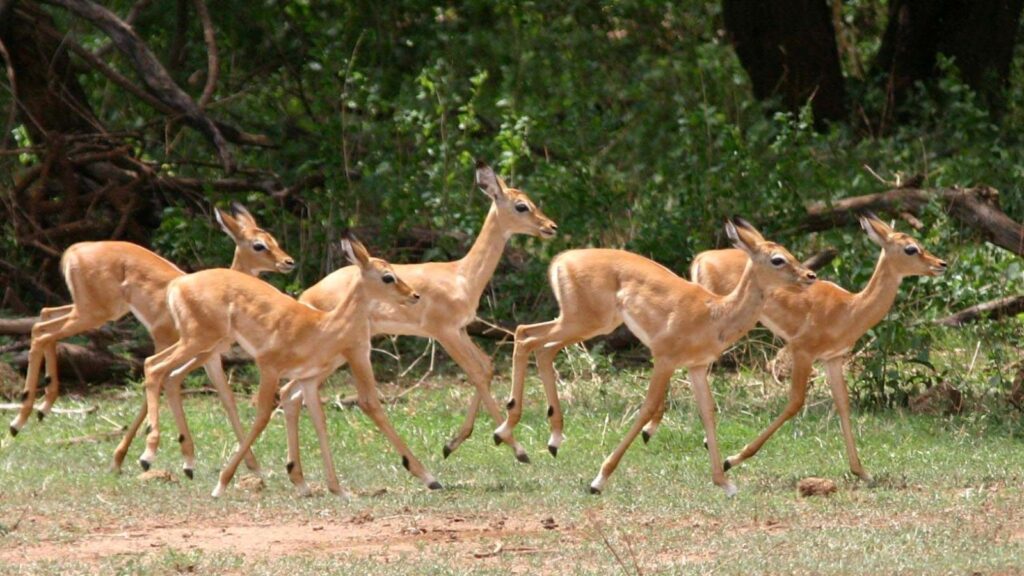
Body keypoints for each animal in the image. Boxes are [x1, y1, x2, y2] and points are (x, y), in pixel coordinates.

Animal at [11, 203, 293, 478]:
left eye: (274, 239)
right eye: (259, 244)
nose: (288, 262)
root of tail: (73, 250)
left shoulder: (210, 358)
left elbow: (227, 400)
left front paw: (252, 465)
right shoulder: (169, 344)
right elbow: (156, 387)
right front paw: (128, 458)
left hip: (90, 310)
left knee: (44, 317)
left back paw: (40, 407)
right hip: (93, 314)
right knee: (43, 331)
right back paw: (21, 419)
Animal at [138, 234, 434, 497]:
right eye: (387, 276)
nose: (415, 295)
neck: (321, 327)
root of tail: (178, 284)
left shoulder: (308, 380)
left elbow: (319, 421)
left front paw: (336, 489)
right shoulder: (270, 369)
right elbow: (262, 417)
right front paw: (221, 484)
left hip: (201, 346)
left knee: (166, 373)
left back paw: (181, 463)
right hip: (197, 342)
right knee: (154, 367)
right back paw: (148, 455)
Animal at [295, 160, 556, 467]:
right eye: (521, 206)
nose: (551, 227)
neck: (462, 276)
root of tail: (305, 295)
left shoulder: (461, 329)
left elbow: (486, 367)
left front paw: (451, 444)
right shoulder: (443, 332)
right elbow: (475, 373)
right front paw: (515, 447)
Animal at [495, 219, 817, 495]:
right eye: (777, 259)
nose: (810, 276)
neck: (715, 313)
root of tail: (560, 260)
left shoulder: (696, 367)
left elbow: (708, 412)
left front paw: (724, 481)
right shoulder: (663, 359)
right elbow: (648, 408)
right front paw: (599, 480)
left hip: (582, 324)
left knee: (536, 343)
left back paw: (548, 441)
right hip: (582, 322)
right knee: (526, 337)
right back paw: (508, 435)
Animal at [666, 213, 947, 480]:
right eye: (911, 248)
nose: (941, 264)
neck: (850, 308)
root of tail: (702, 257)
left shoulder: (832, 358)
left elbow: (843, 403)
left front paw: (862, 472)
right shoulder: (803, 351)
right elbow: (795, 402)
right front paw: (731, 460)